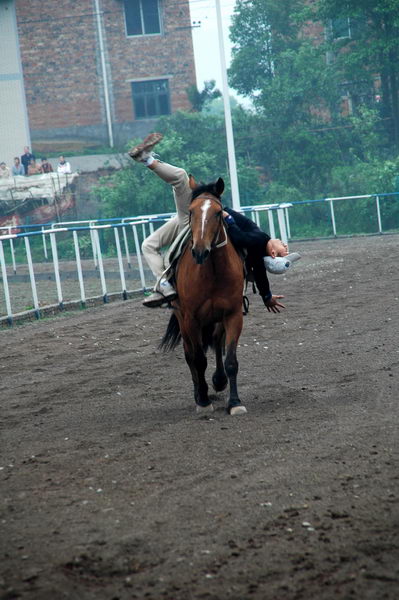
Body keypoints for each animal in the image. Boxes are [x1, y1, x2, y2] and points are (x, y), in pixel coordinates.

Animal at [160, 176, 247, 414]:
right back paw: (200, 393)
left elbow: (231, 360)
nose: (200, 251)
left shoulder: (233, 314)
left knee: (216, 341)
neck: (213, 272)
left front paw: (235, 402)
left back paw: (218, 381)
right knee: (190, 354)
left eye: (218, 212)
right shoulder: (191, 318)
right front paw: (204, 401)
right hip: (182, 319)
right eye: (191, 211)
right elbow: (198, 359)